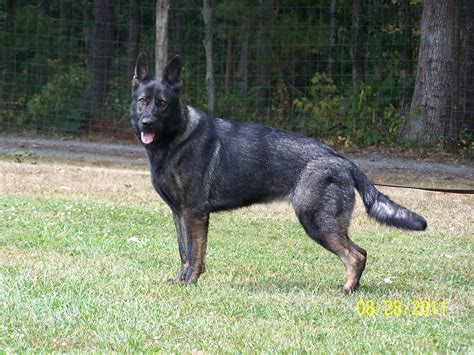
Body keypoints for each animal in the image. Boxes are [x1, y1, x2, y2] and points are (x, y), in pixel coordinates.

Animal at [131, 54, 430, 294]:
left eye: (162, 103)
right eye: (143, 101)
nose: (146, 123)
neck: (174, 139)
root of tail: (341, 160)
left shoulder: (195, 214)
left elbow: (195, 254)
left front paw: (190, 283)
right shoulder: (179, 213)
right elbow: (183, 252)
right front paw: (180, 280)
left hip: (317, 222)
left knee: (357, 255)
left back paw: (347, 290)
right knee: (360, 253)